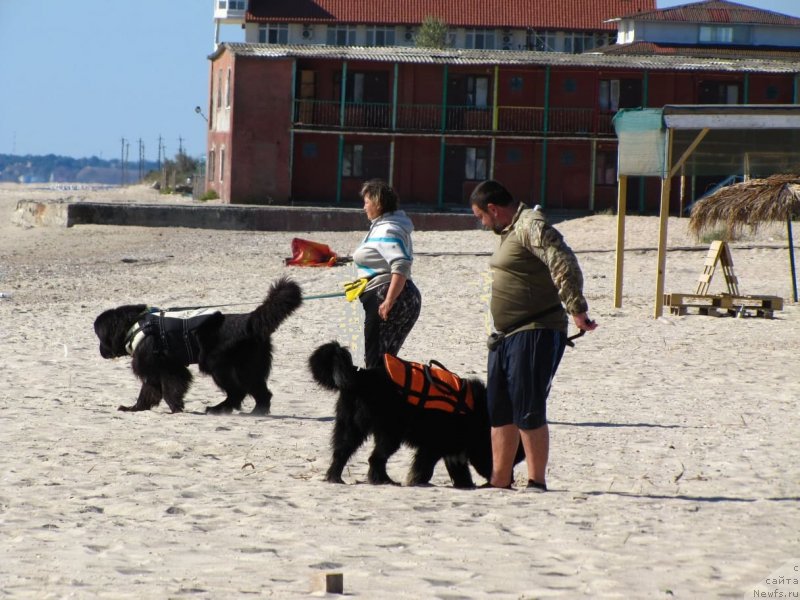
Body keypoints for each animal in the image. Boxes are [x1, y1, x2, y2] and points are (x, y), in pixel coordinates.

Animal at [95, 276, 302, 412]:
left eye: (99, 337)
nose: (100, 351)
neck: (134, 326)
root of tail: (250, 321)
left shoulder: (169, 367)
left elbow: (170, 389)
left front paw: (175, 407)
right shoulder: (155, 370)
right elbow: (149, 391)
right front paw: (134, 408)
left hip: (218, 365)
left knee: (237, 392)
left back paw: (219, 409)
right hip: (249, 367)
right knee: (260, 393)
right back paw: (255, 411)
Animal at [308, 342, 524, 488]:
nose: (510, 481)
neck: (477, 416)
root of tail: (361, 376)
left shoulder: (452, 452)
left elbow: (461, 474)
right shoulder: (433, 447)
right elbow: (423, 469)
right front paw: (416, 482)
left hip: (351, 427)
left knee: (342, 453)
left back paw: (336, 478)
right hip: (390, 433)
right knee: (375, 458)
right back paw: (383, 480)